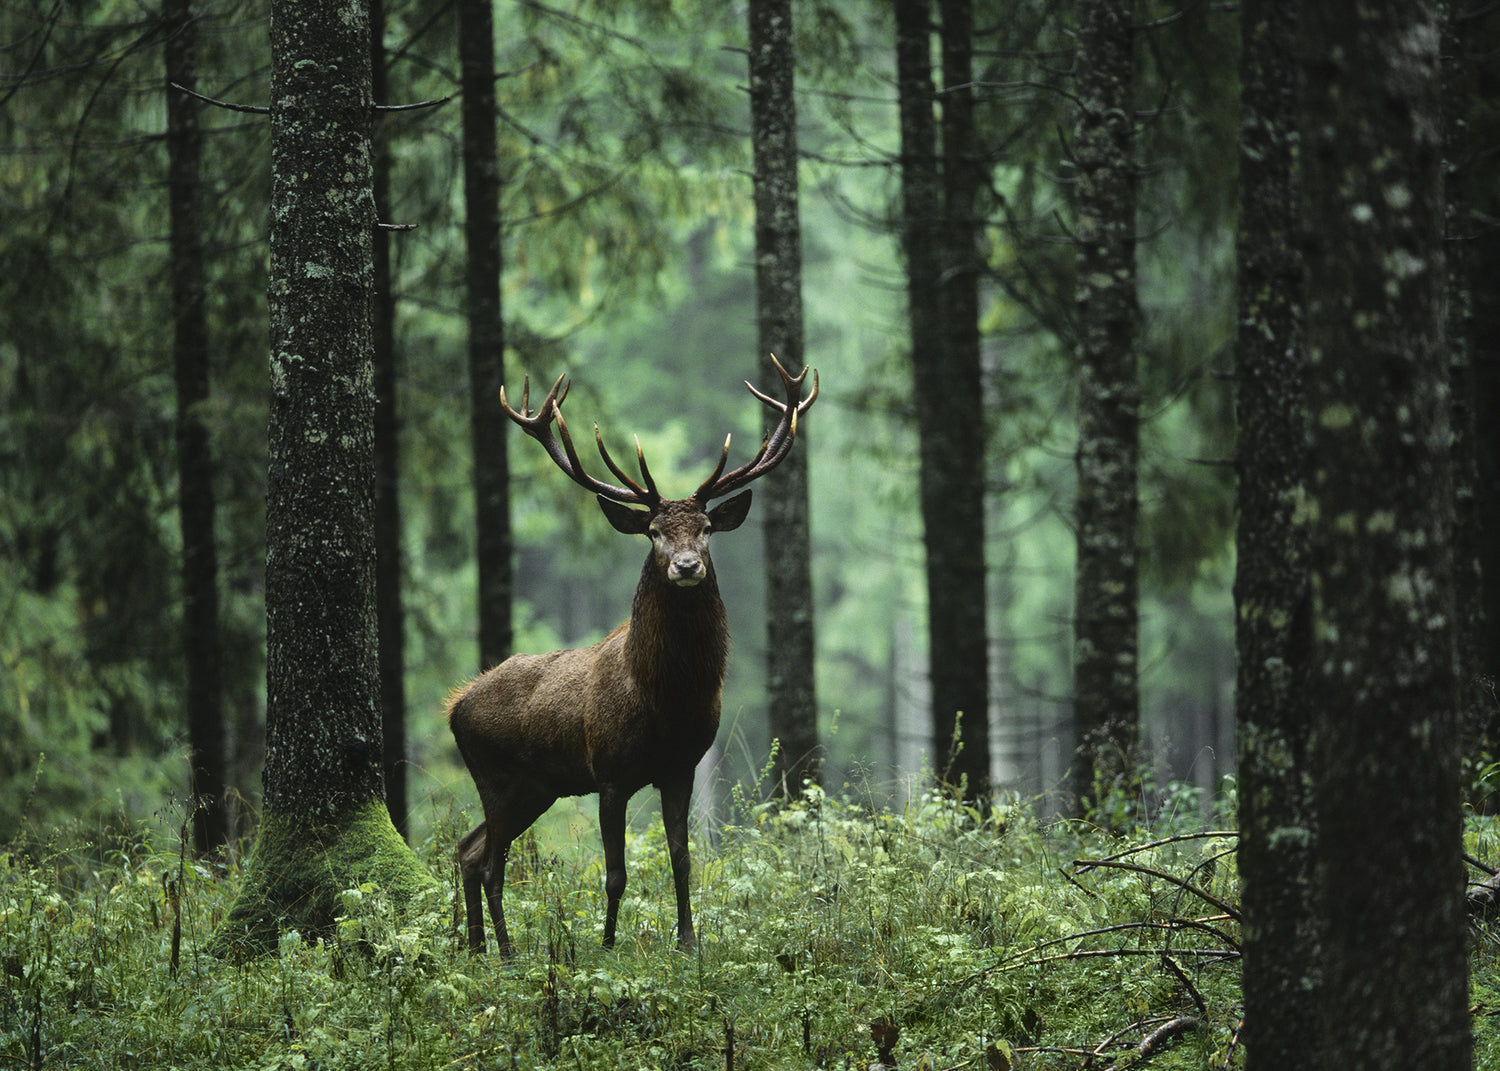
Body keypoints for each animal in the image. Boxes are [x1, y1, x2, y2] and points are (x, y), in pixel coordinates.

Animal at [448, 354, 818, 956]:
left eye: (707, 528)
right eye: (654, 531)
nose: (687, 566)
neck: (665, 700)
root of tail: (454, 706)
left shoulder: (681, 767)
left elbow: (682, 858)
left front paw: (687, 941)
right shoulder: (610, 772)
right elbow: (615, 872)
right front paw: (606, 945)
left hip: (536, 787)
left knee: (468, 849)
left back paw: (480, 948)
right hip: (497, 776)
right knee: (488, 861)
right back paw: (505, 953)